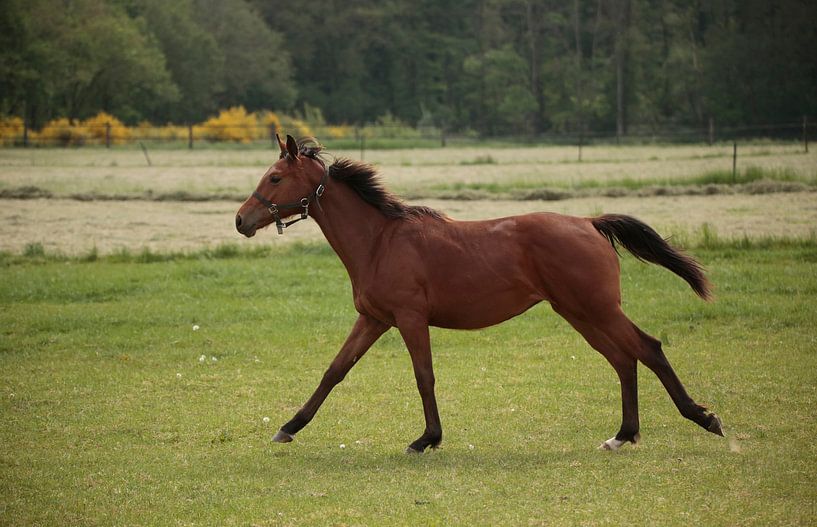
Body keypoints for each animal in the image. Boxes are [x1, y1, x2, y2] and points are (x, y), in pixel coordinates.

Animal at [235, 134, 724, 453]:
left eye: (275, 177)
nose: (241, 220)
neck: (379, 241)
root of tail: (589, 222)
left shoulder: (410, 319)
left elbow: (424, 376)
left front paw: (427, 439)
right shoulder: (373, 319)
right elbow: (334, 371)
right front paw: (289, 427)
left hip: (597, 308)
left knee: (648, 348)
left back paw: (704, 418)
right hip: (579, 313)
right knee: (624, 359)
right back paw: (622, 435)